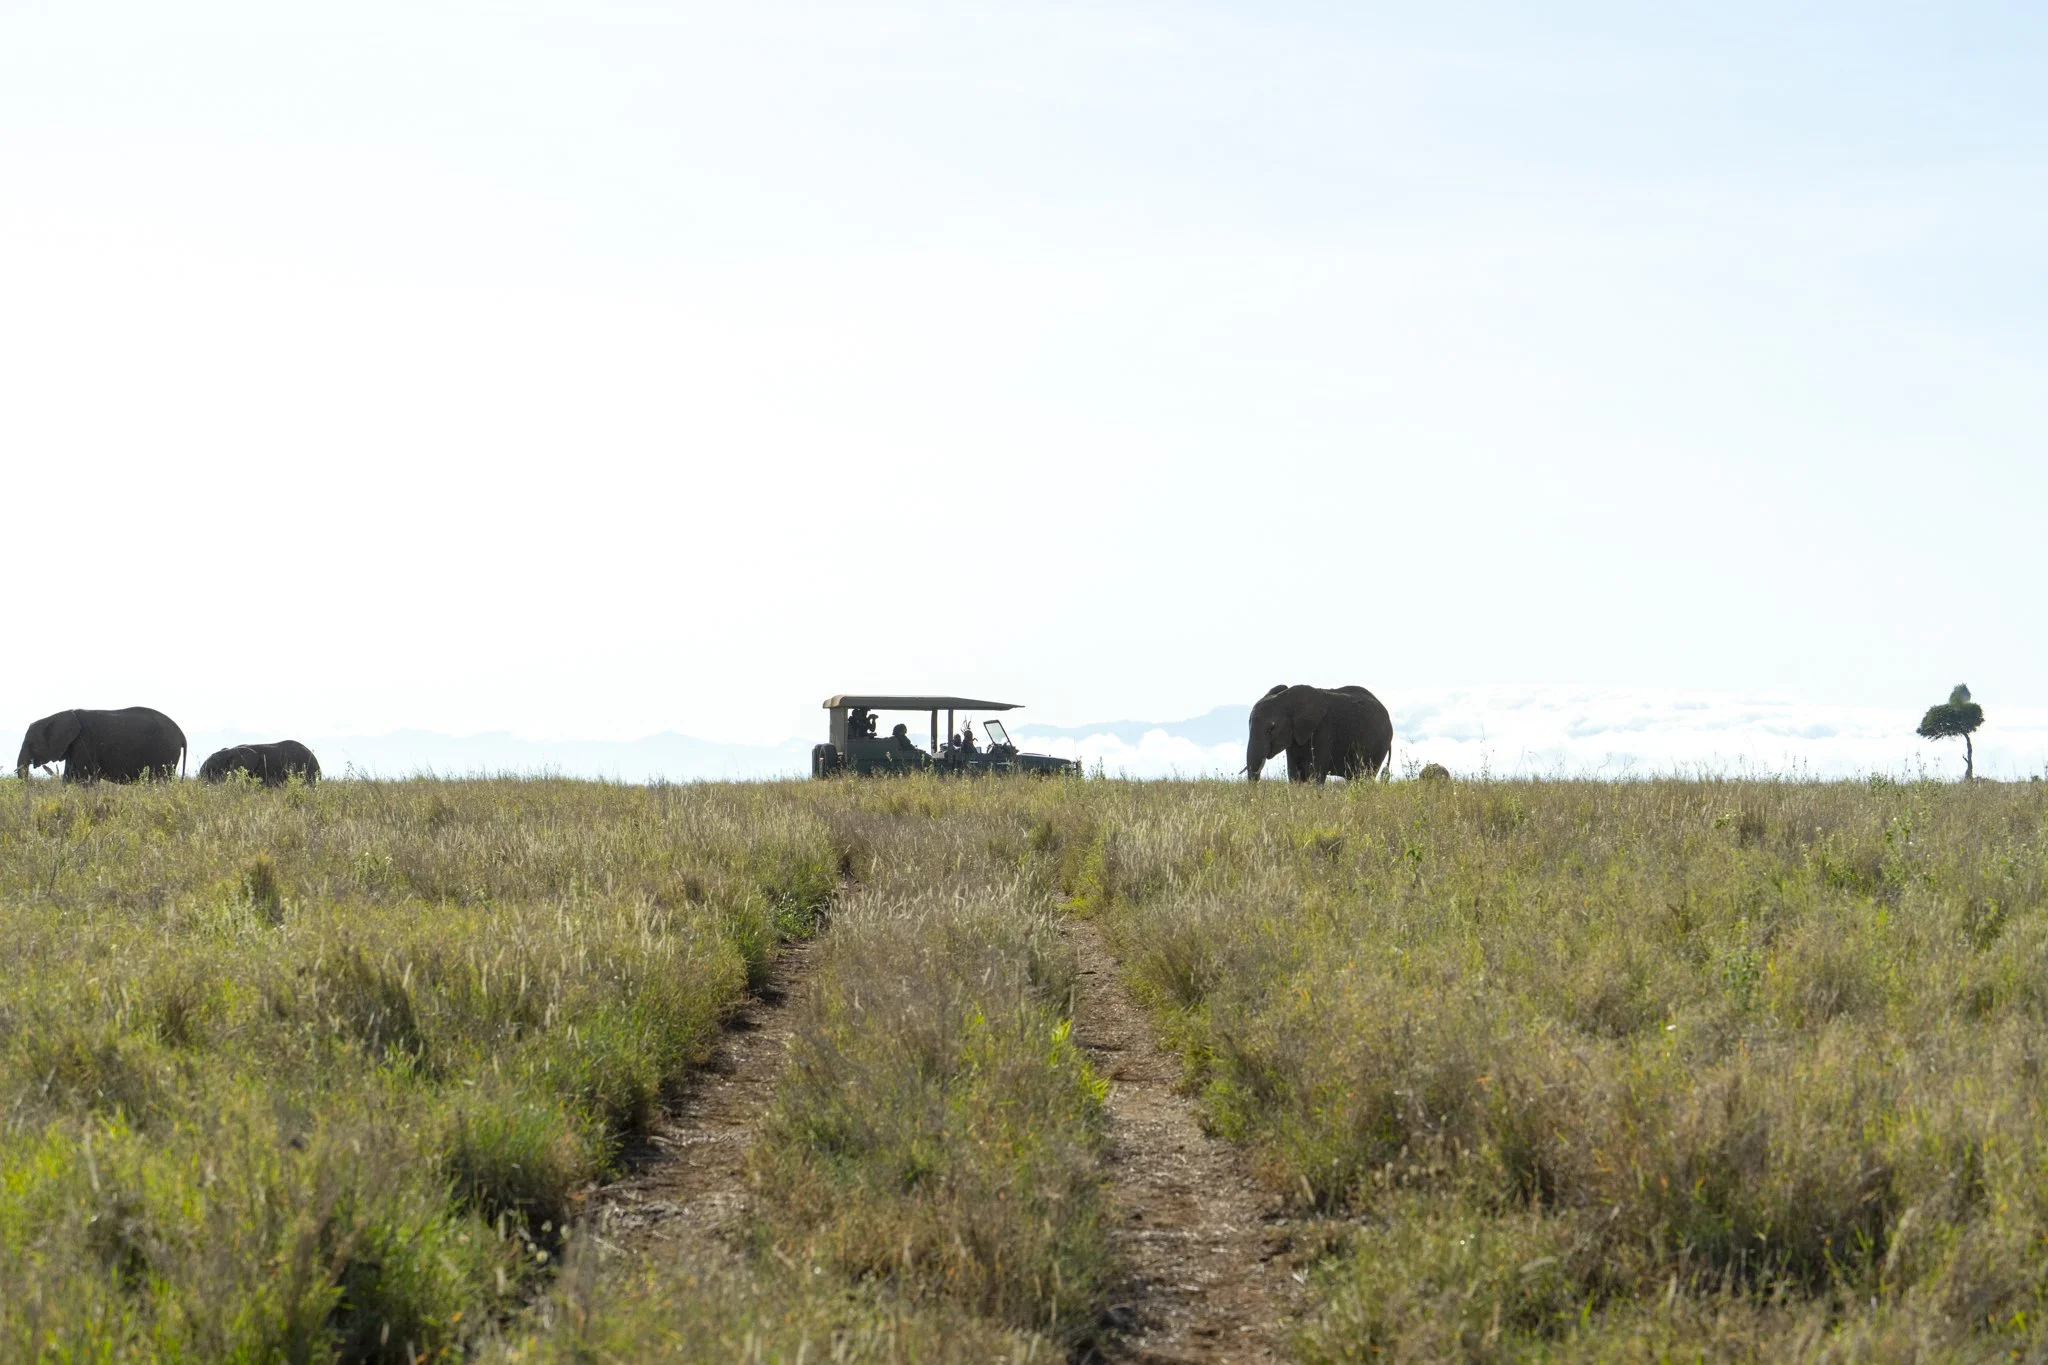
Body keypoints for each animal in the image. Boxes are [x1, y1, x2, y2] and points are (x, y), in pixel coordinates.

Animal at [16, 707, 187, 782]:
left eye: (31, 744)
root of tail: (181, 733)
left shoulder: (83, 742)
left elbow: (86, 778)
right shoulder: (74, 747)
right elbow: (70, 777)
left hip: (165, 752)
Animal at [1245, 684, 1393, 784]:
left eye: (1272, 728)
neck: (1287, 699)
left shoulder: (1323, 728)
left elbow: (1315, 771)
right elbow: (1294, 772)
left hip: (1378, 745)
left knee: (1364, 775)